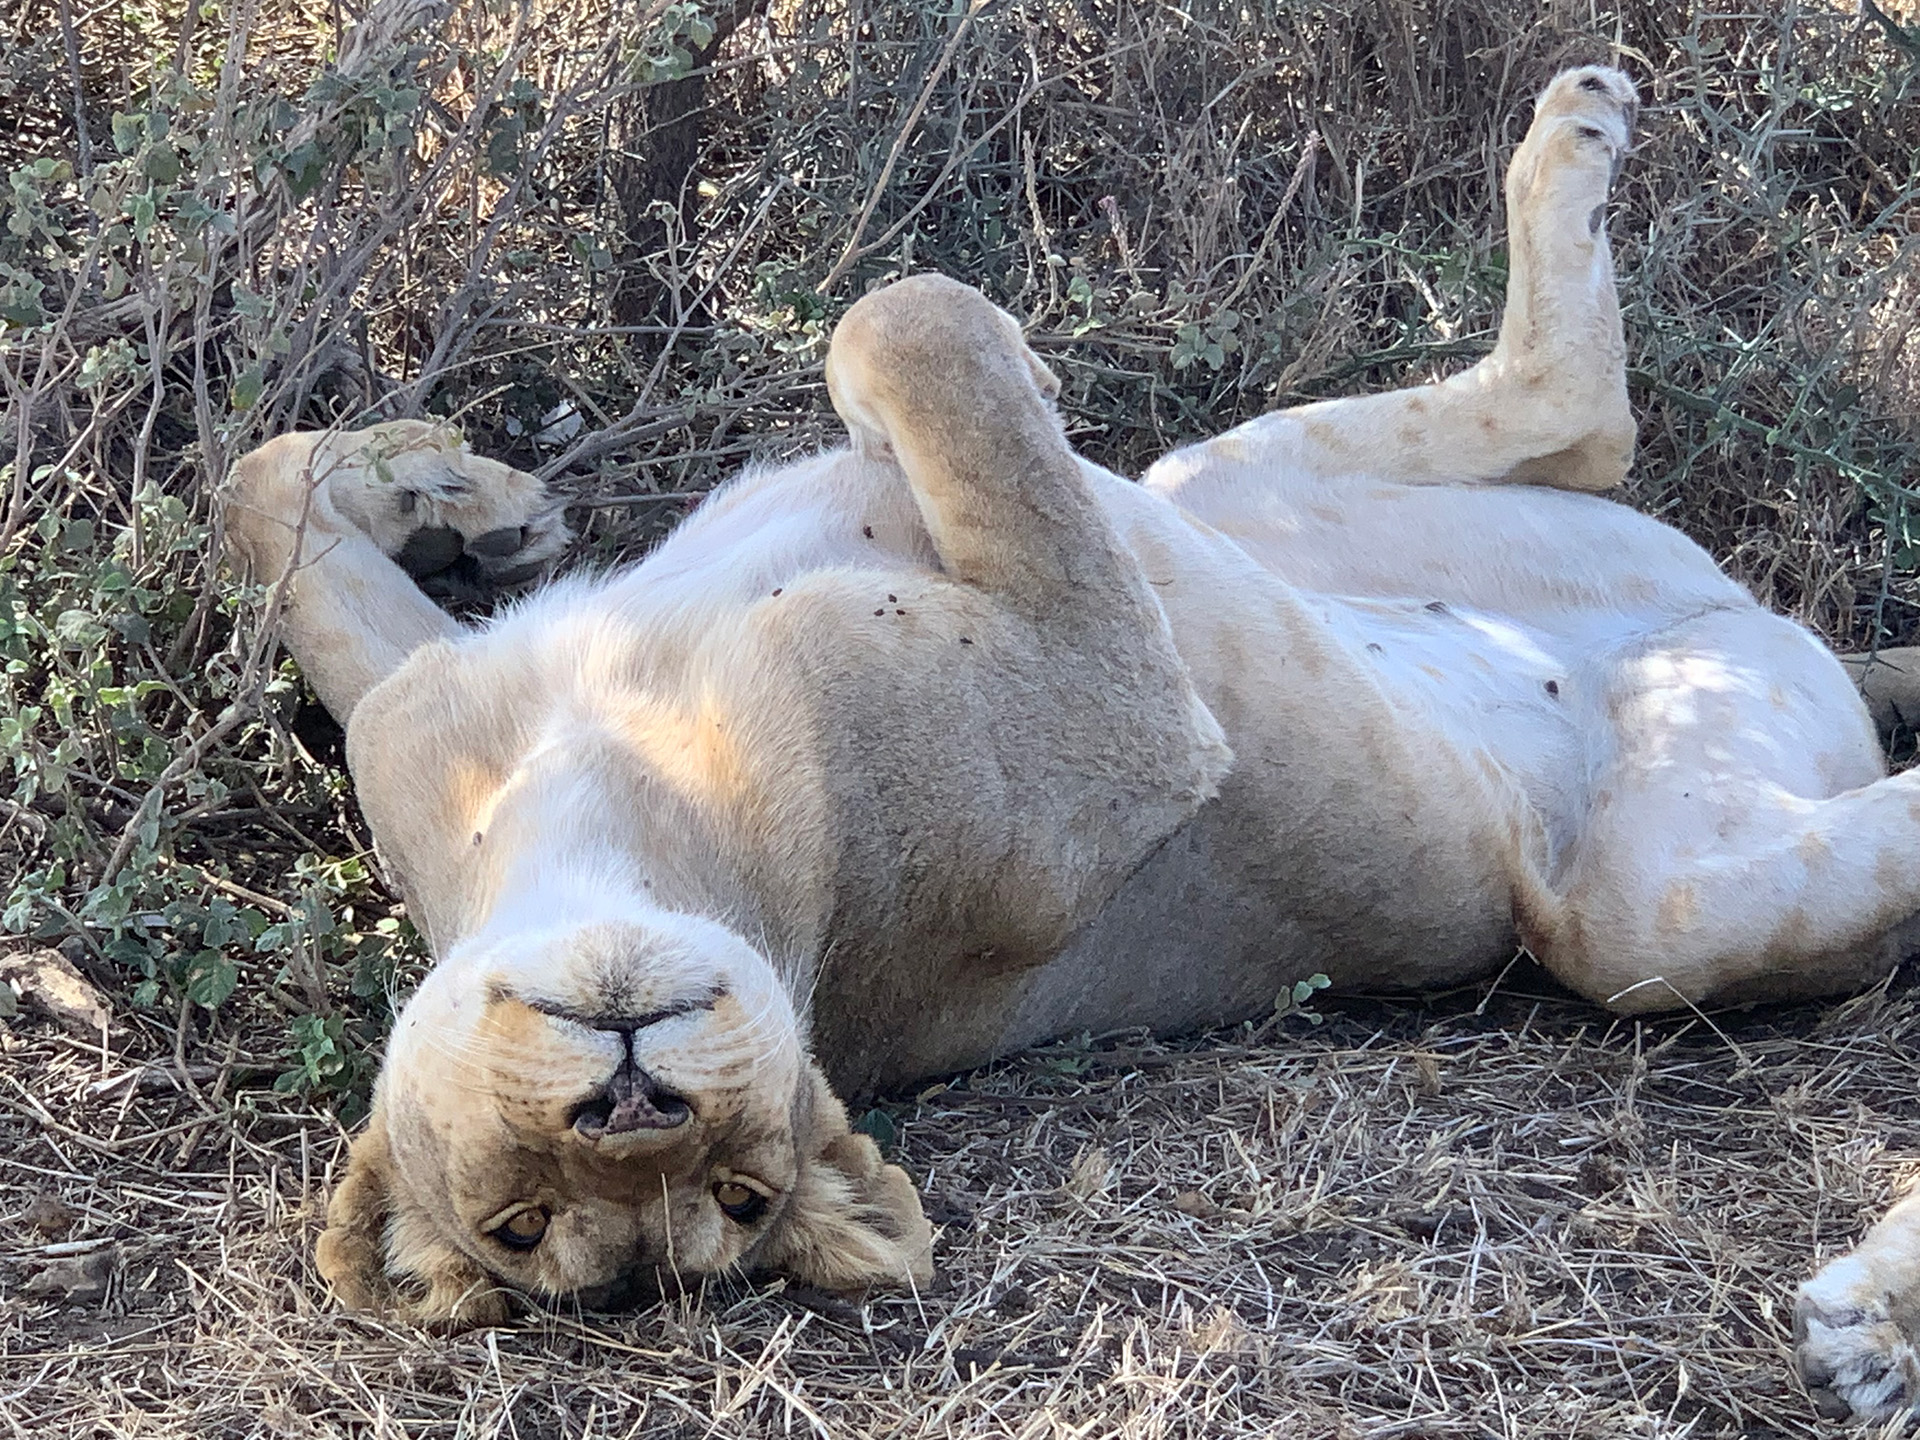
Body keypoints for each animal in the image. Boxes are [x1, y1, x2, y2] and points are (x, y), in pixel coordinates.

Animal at [221, 66, 1920, 1410]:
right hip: (1641, 914)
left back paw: (1573, 131)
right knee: (1693, 832)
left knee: (1580, 415)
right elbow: (906, 320)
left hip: (1222, 482)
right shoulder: (1126, 717)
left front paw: (455, 493)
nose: (630, 1105)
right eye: (535, 1221)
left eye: (730, 1181)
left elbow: (267, 497)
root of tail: (1743, 618)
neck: (598, 803)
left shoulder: (423, 719)